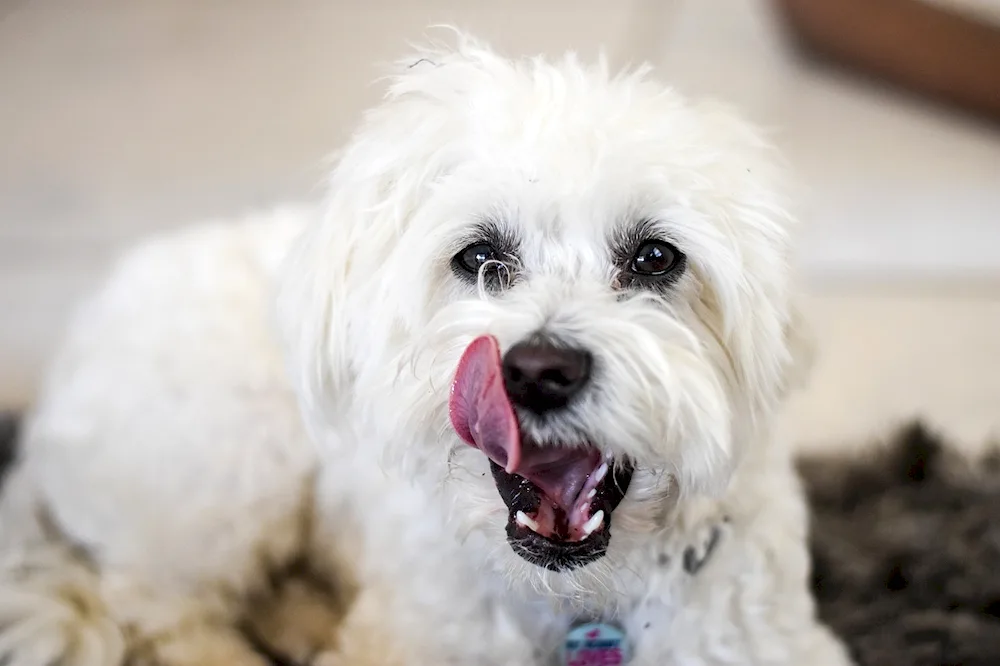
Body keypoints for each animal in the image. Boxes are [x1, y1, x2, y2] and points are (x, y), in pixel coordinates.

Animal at [0, 33, 852, 664]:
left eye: (654, 258)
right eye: (478, 257)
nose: (539, 372)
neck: (578, 599)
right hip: (226, 466)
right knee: (155, 605)